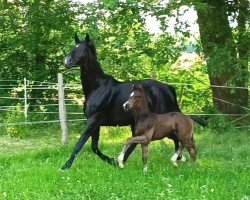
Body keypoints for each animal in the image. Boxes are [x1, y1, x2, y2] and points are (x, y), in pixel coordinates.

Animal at [61, 33, 206, 170]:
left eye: (84, 49)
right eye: (74, 47)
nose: (67, 61)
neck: (97, 87)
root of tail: (168, 87)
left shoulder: (93, 120)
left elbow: (79, 144)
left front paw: (65, 167)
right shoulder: (96, 123)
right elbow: (94, 147)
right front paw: (111, 160)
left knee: (177, 138)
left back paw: (179, 158)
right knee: (140, 141)